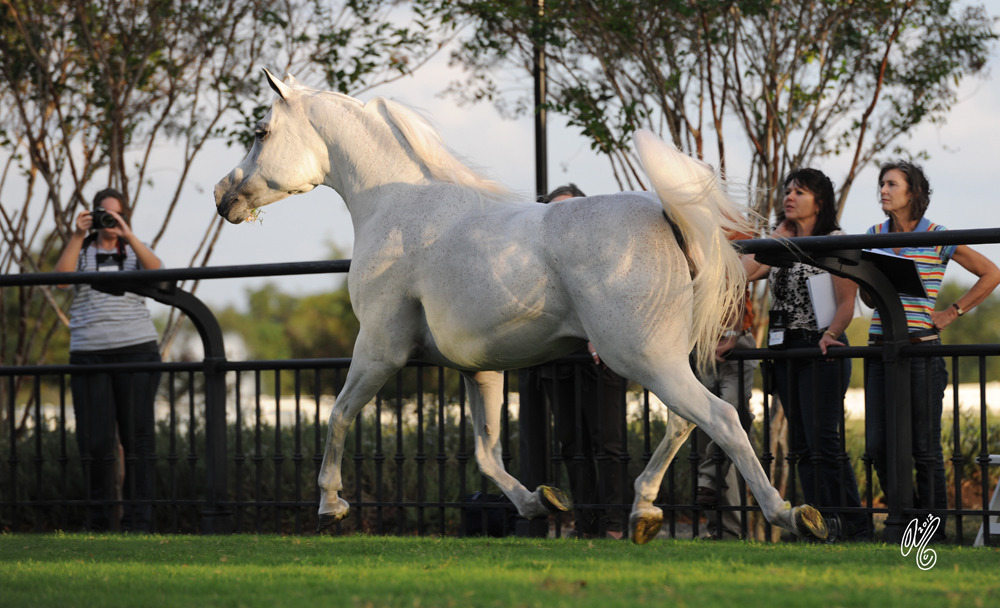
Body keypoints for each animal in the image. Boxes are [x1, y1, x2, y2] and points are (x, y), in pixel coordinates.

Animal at [214, 69, 828, 544]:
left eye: (260, 131)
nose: (225, 197)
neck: (396, 206)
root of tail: (668, 218)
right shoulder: (477, 368)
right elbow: (488, 454)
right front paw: (542, 502)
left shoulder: (380, 347)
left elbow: (339, 414)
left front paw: (330, 507)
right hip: (660, 361)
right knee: (683, 422)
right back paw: (643, 514)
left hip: (641, 358)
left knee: (719, 418)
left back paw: (792, 515)